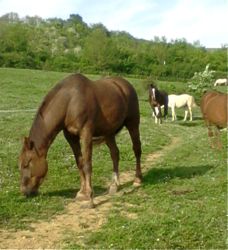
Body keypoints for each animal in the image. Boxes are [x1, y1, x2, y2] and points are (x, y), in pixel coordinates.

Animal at [18, 73, 142, 208]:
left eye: (26, 163)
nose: (24, 191)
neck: (69, 101)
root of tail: (125, 84)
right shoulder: (71, 137)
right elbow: (80, 163)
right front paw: (82, 193)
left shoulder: (86, 133)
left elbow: (87, 164)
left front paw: (89, 198)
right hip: (109, 133)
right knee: (115, 154)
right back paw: (114, 185)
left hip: (133, 124)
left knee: (137, 149)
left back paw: (137, 179)